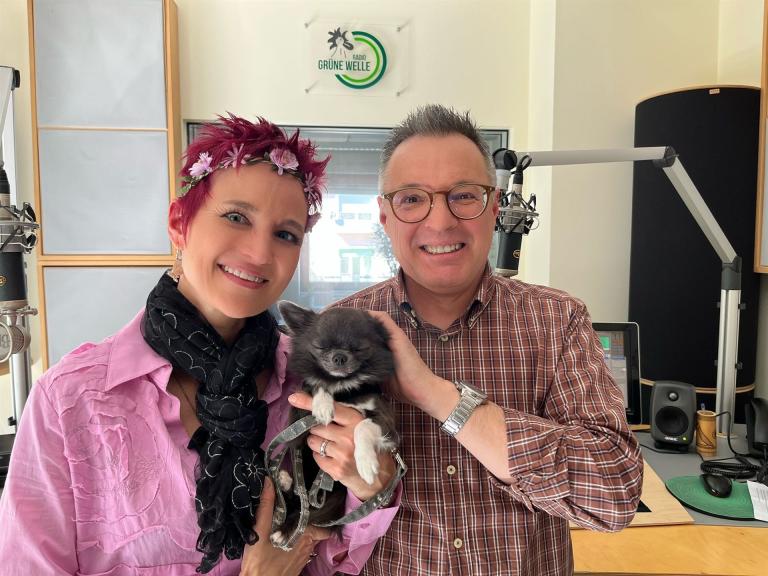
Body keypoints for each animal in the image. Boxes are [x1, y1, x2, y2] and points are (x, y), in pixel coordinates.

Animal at [270, 301, 399, 547]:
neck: (342, 389)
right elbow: (316, 385)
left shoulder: (387, 421)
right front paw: (322, 404)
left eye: (358, 348)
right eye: (321, 347)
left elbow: (362, 426)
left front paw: (366, 463)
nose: (339, 357)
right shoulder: (297, 426)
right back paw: (284, 486)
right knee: (301, 501)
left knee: (310, 510)